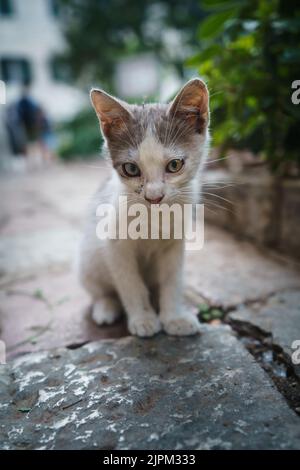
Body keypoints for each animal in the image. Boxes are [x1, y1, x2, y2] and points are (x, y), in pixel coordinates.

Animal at [81, 77, 210, 336]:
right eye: (131, 169)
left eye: (174, 165)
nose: (154, 197)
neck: (154, 216)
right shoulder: (115, 245)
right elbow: (130, 282)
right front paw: (143, 319)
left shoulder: (175, 244)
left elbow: (172, 280)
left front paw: (174, 317)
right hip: (87, 260)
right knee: (100, 289)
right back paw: (106, 306)